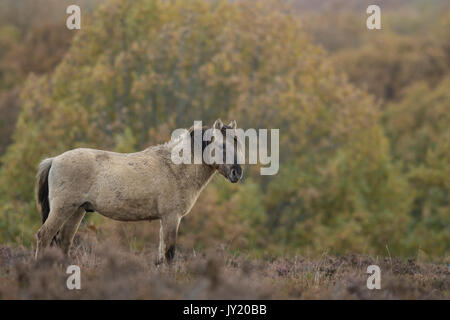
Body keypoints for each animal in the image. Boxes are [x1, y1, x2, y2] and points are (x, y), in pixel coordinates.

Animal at [35, 119, 243, 264]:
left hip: (76, 211)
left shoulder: (165, 219)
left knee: (64, 242)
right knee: (44, 236)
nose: (237, 172)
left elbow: (161, 256)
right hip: (63, 209)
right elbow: (169, 253)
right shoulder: (171, 217)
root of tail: (54, 160)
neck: (175, 167)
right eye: (222, 146)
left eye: (238, 144)